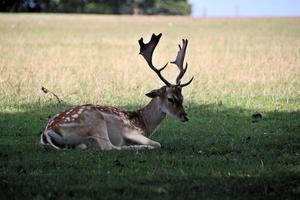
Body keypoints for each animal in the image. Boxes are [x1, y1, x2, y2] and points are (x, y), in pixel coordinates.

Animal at [39, 33, 193, 150]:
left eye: (182, 97)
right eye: (170, 99)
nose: (185, 116)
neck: (144, 123)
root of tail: (47, 132)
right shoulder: (130, 130)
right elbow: (157, 143)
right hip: (96, 121)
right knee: (109, 147)